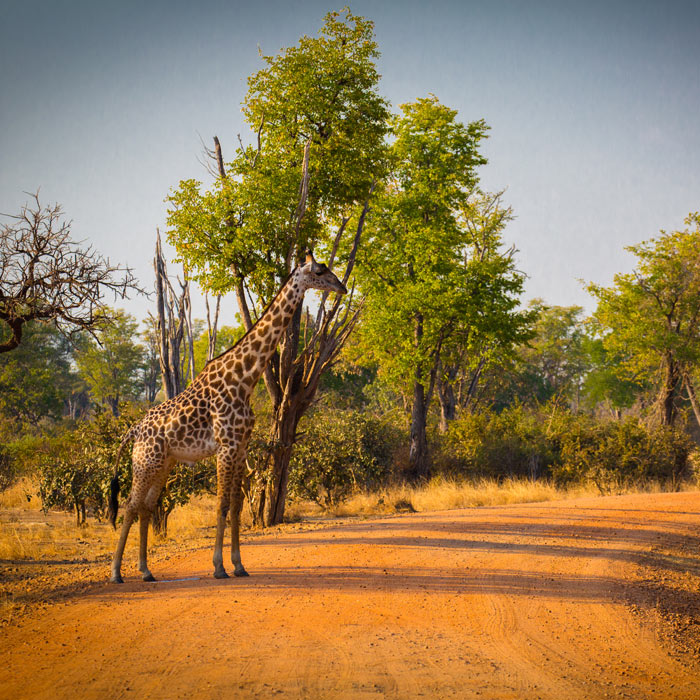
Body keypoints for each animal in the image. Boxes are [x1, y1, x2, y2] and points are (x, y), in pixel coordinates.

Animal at [108, 250, 346, 580]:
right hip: (146, 461)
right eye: (321, 272)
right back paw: (116, 572)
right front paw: (219, 567)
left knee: (146, 506)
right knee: (130, 505)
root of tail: (133, 430)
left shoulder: (241, 447)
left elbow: (235, 506)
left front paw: (239, 564)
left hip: (164, 463)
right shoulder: (226, 447)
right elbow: (220, 505)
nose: (342, 287)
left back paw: (145, 570)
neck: (245, 378)